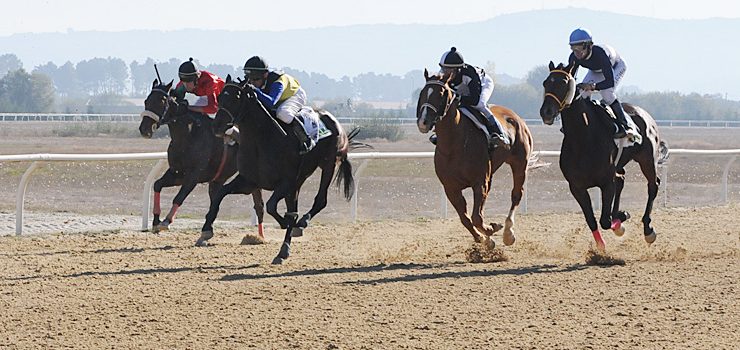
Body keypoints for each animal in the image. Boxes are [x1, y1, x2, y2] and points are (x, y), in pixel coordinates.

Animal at [139, 79, 266, 237]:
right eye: (146, 100)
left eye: (161, 101)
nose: (144, 130)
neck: (188, 135)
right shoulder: (176, 173)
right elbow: (157, 184)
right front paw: (156, 220)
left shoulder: (193, 176)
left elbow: (179, 197)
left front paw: (166, 221)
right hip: (218, 179)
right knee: (216, 199)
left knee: (259, 205)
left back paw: (260, 237)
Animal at [416, 69, 532, 247]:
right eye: (422, 93)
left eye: (441, 94)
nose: (423, 122)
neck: (453, 144)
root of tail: (515, 116)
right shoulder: (451, 188)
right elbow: (466, 219)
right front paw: (484, 239)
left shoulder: (479, 182)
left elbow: (476, 217)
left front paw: (491, 230)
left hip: (520, 163)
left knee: (516, 194)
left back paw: (508, 232)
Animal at [540, 61, 668, 250]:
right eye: (545, 83)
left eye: (564, 83)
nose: (546, 112)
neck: (582, 139)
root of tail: (644, 114)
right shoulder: (576, 187)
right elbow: (592, 219)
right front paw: (601, 245)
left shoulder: (606, 183)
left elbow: (605, 221)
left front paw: (622, 218)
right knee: (621, 179)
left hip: (647, 160)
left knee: (653, 185)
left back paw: (648, 229)